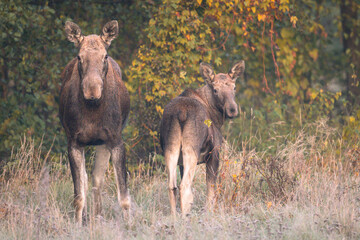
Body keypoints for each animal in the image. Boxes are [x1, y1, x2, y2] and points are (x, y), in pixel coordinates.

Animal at [59, 19, 131, 224]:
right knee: (85, 179)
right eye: (79, 57)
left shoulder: (115, 140)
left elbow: (124, 196)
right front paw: (77, 223)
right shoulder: (73, 142)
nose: (92, 91)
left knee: (97, 178)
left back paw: (98, 216)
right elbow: (78, 196)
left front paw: (129, 225)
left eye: (105, 56)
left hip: (103, 143)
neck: (92, 110)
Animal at [160, 61, 245, 217]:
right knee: (184, 186)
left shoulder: (181, 162)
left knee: (172, 186)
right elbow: (211, 189)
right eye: (215, 90)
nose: (232, 110)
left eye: (234, 87)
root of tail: (181, 113)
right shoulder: (214, 153)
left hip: (171, 148)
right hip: (191, 149)